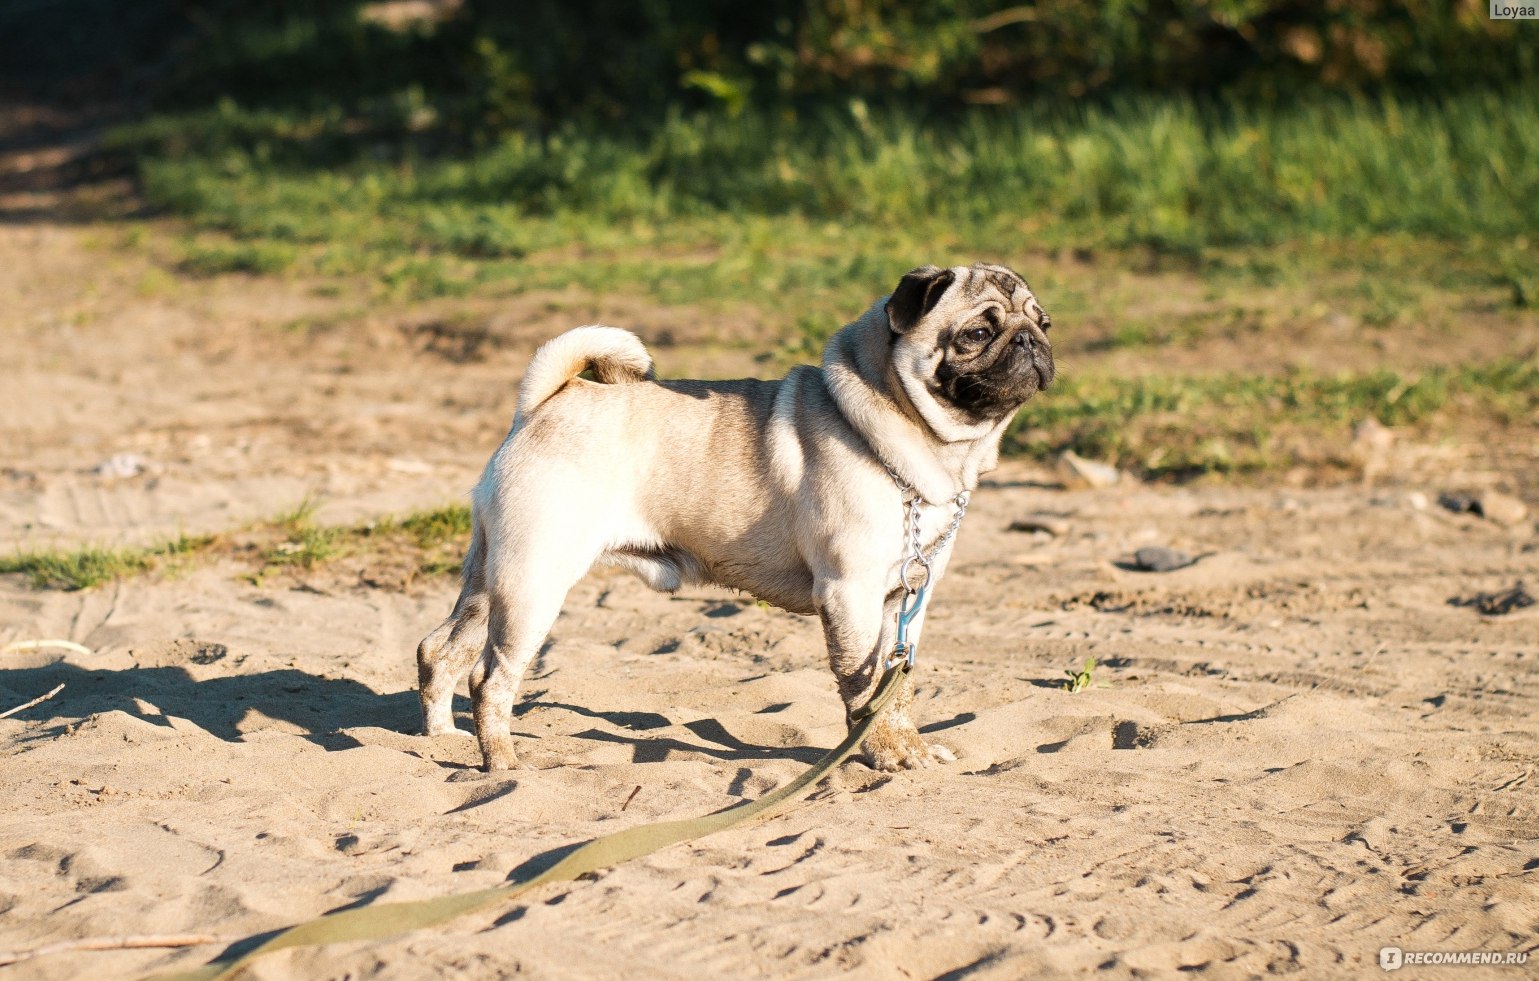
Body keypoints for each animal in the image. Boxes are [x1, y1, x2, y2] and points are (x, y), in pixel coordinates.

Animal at [415, 261, 1052, 773]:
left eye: (1043, 323)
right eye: (977, 333)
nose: (1031, 343)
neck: (923, 445)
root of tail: (545, 403)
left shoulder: (907, 600)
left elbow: (898, 690)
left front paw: (906, 746)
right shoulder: (851, 591)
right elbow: (865, 687)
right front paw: (882, 754)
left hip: (491, 578)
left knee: (441, 650)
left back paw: (442, 738)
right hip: (534, 581)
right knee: (489, 678)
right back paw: (501, 763)